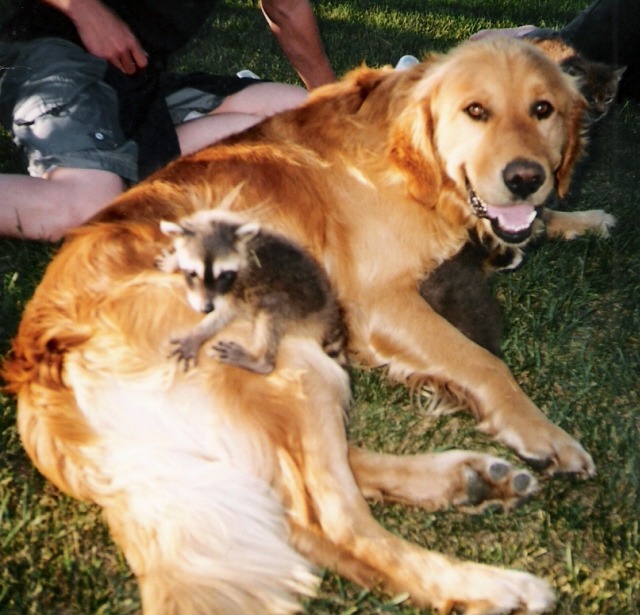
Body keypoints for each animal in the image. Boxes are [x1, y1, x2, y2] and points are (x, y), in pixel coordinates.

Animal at [4, 38, 606, 614]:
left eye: (543, 109)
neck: (410, 162)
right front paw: (544, 433)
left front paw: (578, 218)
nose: (525, 178)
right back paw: (491, 585)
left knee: (289, 496)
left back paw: (471, 479)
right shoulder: (379, 301)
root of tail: (42, 359)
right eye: (475, 110)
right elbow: (482, 362)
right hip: (290, 370)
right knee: (333, 524)